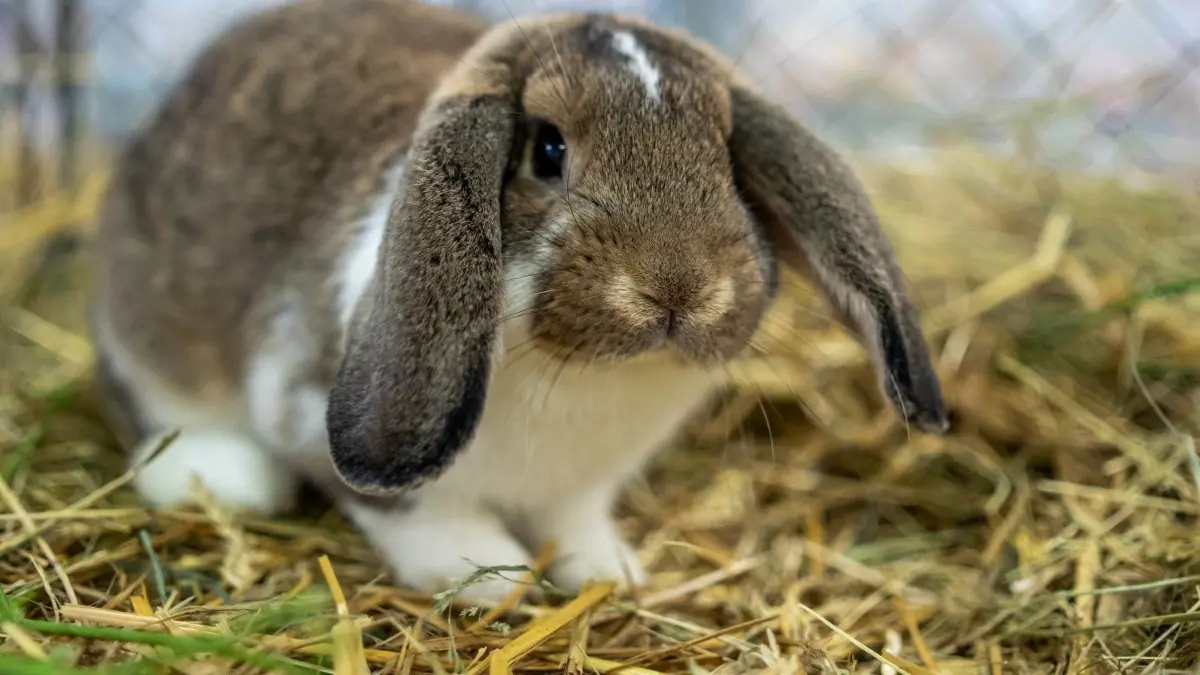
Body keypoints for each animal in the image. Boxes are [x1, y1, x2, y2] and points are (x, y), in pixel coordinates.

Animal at [88, 0, 950, 604]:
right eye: (547, 148)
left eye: (727, 158)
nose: (679, 288)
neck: (584, 375)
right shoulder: (309, 404)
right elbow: (415, 510)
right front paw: (494, 576)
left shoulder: (583, 486)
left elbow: (575, 523)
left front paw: (607, 572)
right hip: (144, 340)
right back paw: (219, 475)